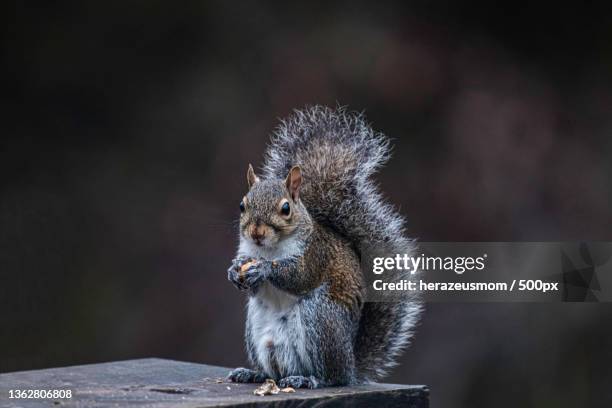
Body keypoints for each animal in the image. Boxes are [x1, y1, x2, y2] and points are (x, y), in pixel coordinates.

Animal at [227, 105, 424, 388]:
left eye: (285, 208)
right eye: (242, 205)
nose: (256, 233)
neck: (269, 249)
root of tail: (351, 367)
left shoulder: (315, 254)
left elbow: (299, 276)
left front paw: (265, 269)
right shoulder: (247, 250)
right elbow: (250, 283)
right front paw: (234, 271)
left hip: (320, 319)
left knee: (331, 377)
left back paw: (309, 379)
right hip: (258, 331)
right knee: (274, 372)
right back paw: (254, 374)